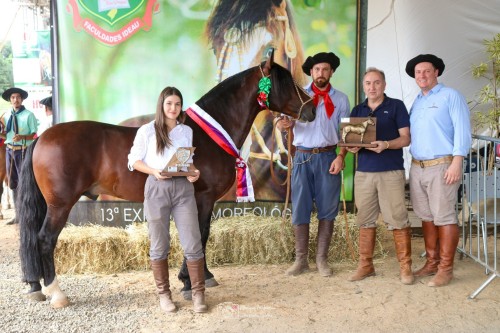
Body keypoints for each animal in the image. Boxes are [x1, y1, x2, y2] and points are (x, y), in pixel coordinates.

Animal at [19, 53, 316, 306]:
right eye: (285, 81)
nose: (311, 110)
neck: (208, 135)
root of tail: (42, 138)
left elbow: (199, 235)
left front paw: (198, 277)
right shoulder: (203, 197)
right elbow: (200, 235)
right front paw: (189, 282)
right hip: (60, 204)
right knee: (44, 239)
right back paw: (57, 293)